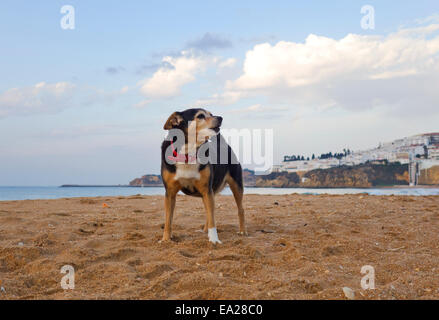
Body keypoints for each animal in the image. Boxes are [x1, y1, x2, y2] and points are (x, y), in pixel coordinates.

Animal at [161, 109, 246, 244]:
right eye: (200, 116)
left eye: (211, 114)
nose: (220, 118)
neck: (188, 153)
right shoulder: (170, 193)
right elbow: (168, 219)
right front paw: (166, 239)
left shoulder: (207, 190)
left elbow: (212, 219)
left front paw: (214, 240)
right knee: (209, 211)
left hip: (236, 186)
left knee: (240, 209)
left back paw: (242, 231)